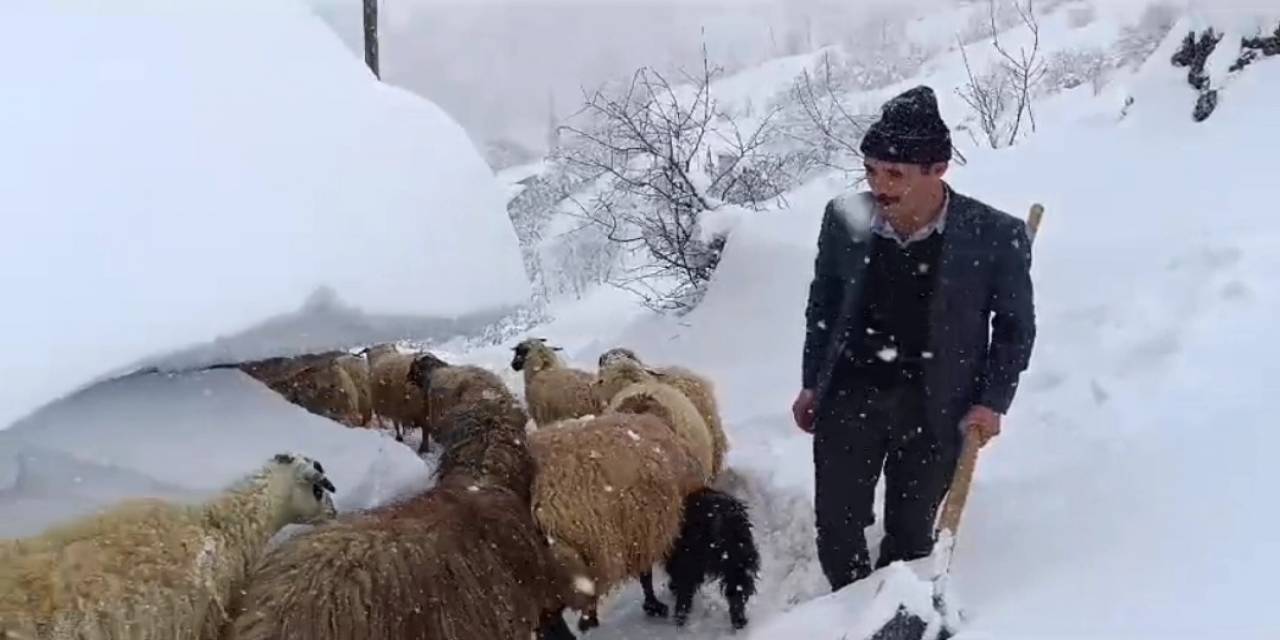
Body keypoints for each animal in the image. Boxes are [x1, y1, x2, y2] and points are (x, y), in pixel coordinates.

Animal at [640, 483, 757, 629]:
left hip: (690, 562)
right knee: (737, 591)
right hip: (739, 563)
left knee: (684, 597)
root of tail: (718, 518)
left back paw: (679, 618)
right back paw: (739, 621)